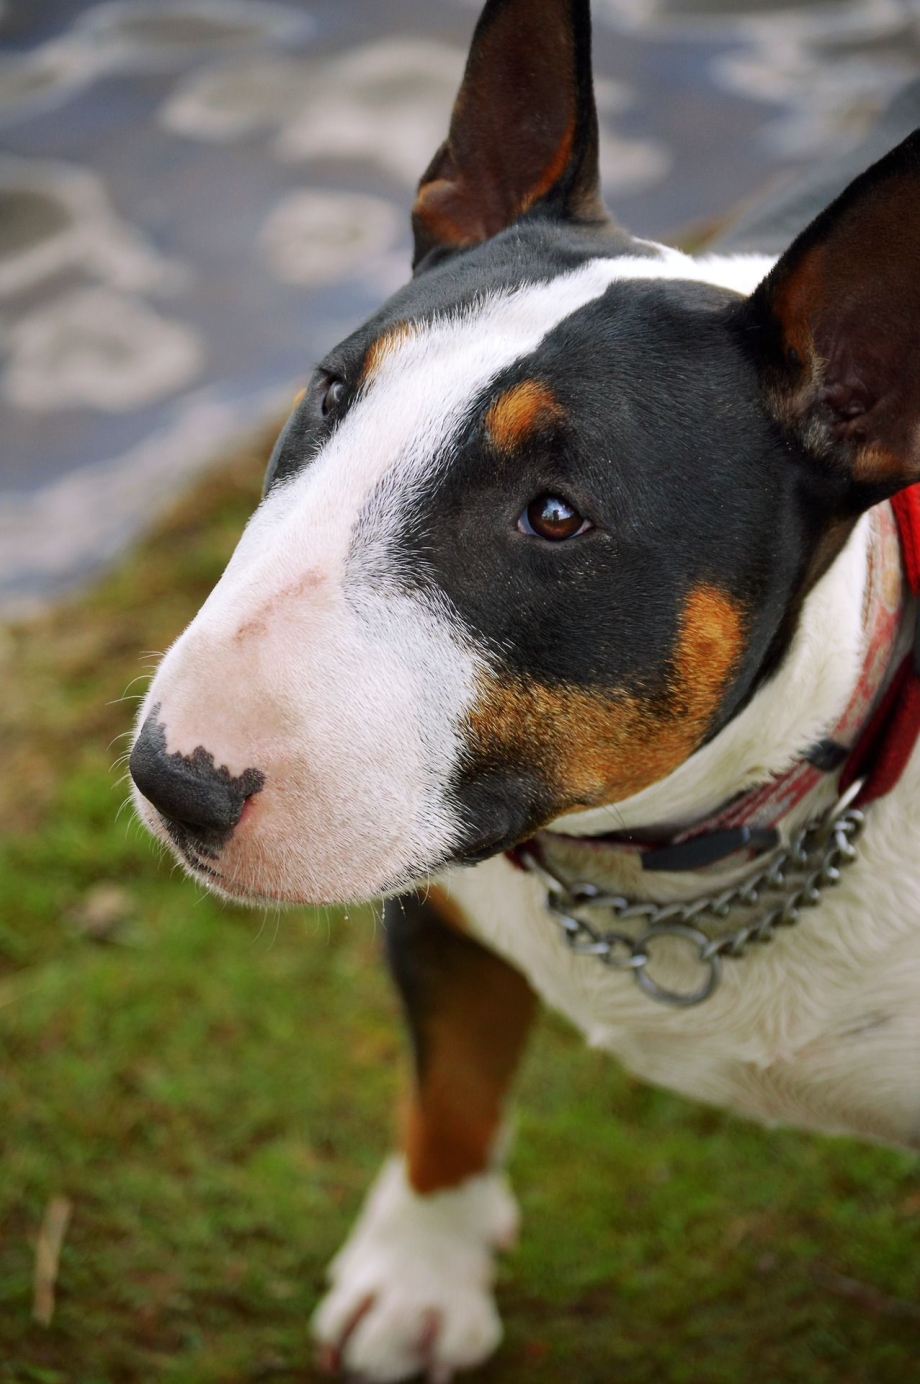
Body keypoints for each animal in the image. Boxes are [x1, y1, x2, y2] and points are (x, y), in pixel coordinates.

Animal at [127, 5, 918, 1378]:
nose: (173, 780)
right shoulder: (435, 906)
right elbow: (446, 1095)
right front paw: (416, 1284)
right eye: (330, 392)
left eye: (555, 517)